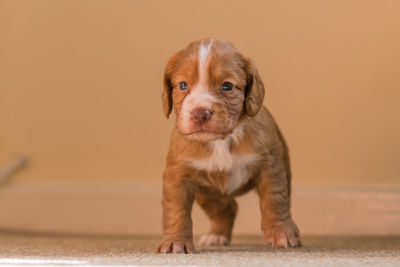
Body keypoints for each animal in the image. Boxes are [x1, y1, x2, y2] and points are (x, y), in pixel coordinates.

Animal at [158, 38, 298, 254]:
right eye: (182, 85)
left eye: (227, 86)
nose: (200, 113)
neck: (220, 141)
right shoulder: (178, 174)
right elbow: (176, 210)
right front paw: (176, 241)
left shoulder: (270, 164)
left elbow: (275, 198)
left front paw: (281, 231)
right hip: (208, 194)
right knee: (227, 209)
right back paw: (217, 235)